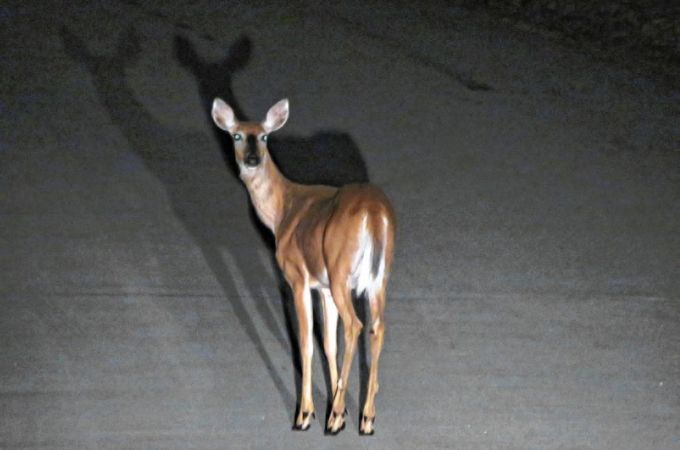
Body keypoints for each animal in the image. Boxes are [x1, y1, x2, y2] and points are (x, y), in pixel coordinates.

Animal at [210, 96, 396, 434]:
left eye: (265, 136)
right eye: (237, 135)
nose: (253, 159)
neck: (282, 210)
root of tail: (374, 213)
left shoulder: (297, 278)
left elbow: (306, 343)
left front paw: (307, 414)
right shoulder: (323, 287)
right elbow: (328, 344)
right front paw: (342, 410)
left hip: (341, 270)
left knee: (356, 325)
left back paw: (332, 420)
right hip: (378, 278)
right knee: (377, 327)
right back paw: (366, 418)